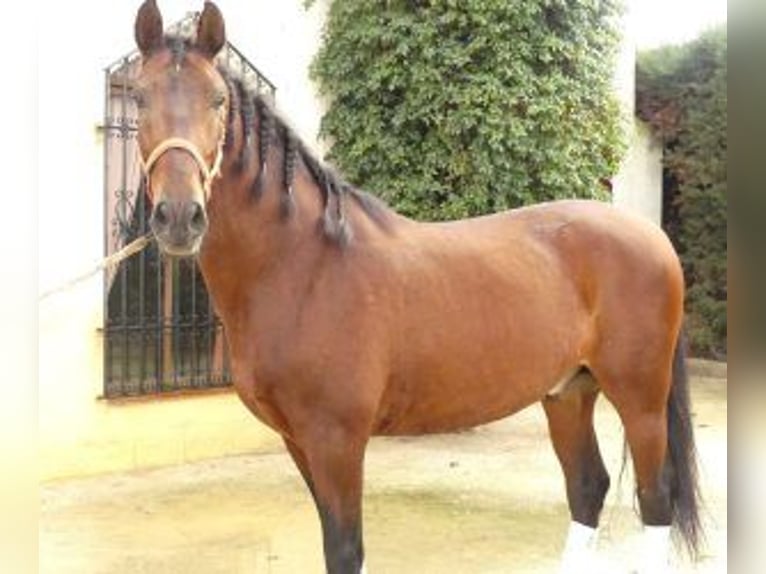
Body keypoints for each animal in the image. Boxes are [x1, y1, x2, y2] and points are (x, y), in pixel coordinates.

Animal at [131, 2, 701, 572]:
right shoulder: (299, 441)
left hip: (641, 400)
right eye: (137, 96)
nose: (179, 217)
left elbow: (345, 550)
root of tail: (652, 235)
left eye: (218, 100)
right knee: (587, 487)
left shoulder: (337, 440)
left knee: (654, 499)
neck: (302, 265)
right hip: (568, 392)